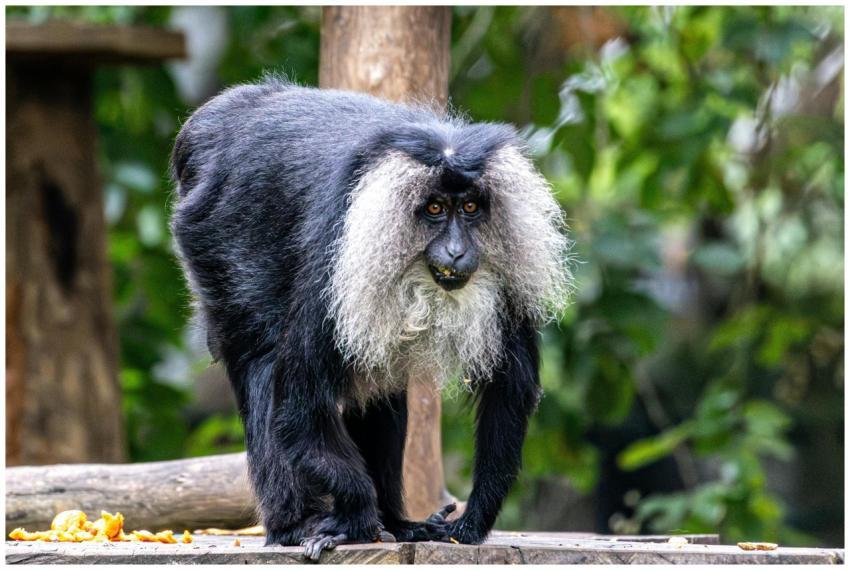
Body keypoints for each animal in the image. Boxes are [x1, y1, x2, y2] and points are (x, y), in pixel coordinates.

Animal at [170, 77, 571, 560]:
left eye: (471, 208)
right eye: (435, 209)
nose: (457, 251)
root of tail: (214, 121)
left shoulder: (509, 274)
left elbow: (509, 389)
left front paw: (472, 522)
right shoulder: (334, 253)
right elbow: (298, 405)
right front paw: (357, 517)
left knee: (380, 388)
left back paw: (396, 523)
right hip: (212, 236)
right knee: (260, 359)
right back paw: (295, 525)